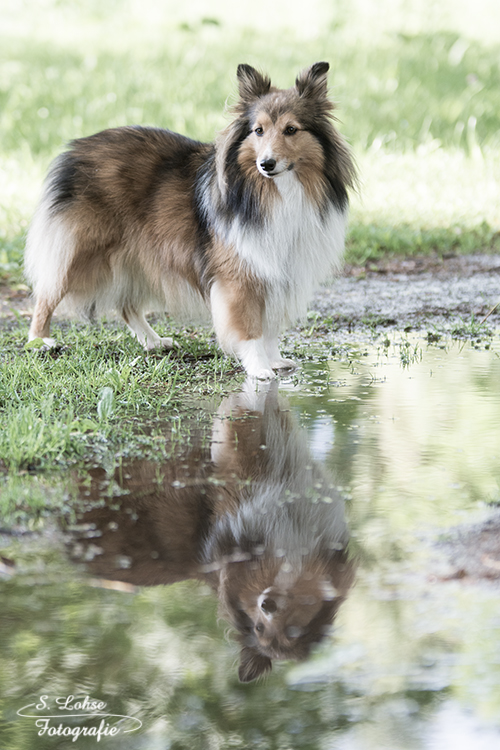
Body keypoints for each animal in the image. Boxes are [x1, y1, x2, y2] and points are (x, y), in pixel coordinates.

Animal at [24, 62, 356, 378]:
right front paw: (260, 368)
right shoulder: (240, 273)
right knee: (48, 293)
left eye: (291, 130)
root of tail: (75, 148)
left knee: (126, 304)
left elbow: (270, 325)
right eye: (258, 130)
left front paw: (274, 360)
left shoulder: (278, 270)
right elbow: (250, 326)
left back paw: (153, 341)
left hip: (136, 254)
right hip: (81, 250)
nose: (266, 164)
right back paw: (39, 340)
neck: (273, 192)